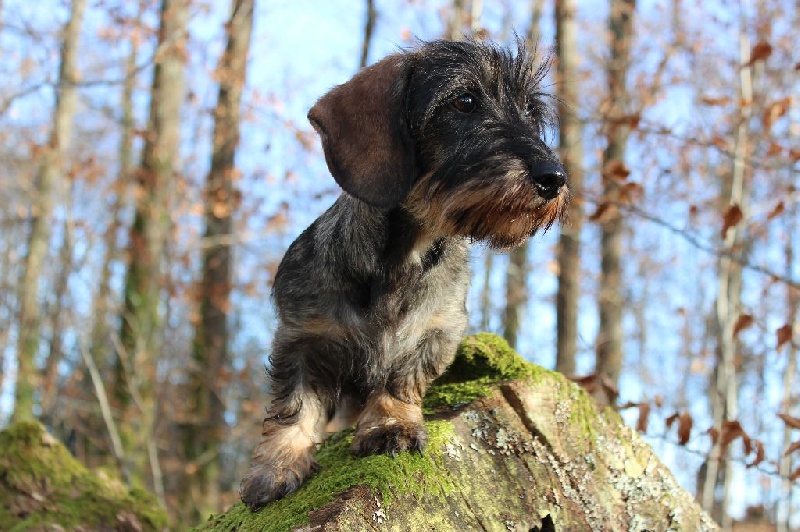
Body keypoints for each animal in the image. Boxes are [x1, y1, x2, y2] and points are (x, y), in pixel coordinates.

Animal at [239, 39, 568, 510]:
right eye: (464, 101)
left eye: (529, 112)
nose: (553, 178)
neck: (402, 261)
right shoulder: (301, 338)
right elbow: (293, 404)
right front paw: (277, 467)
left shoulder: (435, 333)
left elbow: (400, 380)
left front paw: (390, 426)